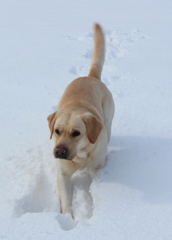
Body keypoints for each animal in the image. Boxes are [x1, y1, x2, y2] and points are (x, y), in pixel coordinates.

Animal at [47, 24, 114, 215]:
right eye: (57, 131)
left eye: (76, 133)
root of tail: (90, 76)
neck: (81, 155)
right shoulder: (62, 175)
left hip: (108, 120)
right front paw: (67, 216)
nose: (60, 151)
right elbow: (65, 201)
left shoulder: (96, 166)